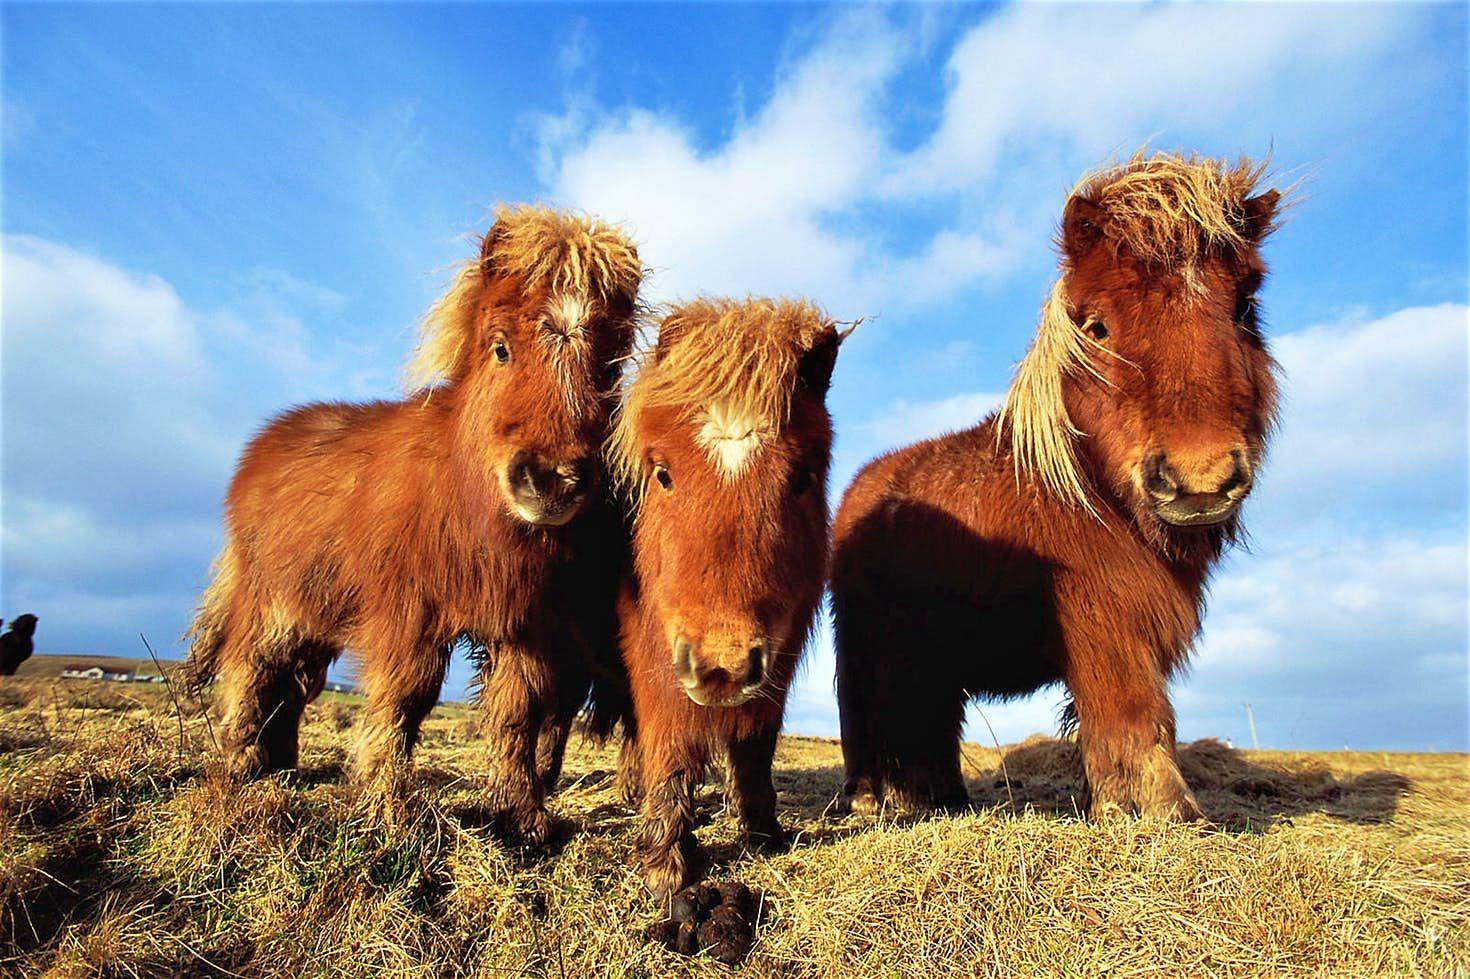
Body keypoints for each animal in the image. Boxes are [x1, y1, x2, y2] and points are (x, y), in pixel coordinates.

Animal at [184, 206, 644, 842]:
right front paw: (385, 809)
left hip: (315, 615)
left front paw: (522, 818)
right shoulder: (408, 615)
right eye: (500, 348)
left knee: (294, 685)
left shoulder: (527, 625)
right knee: (250, 671)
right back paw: (239, 769)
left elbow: (519, 714)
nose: (550, 481)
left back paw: (281, 767)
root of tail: (263, 445)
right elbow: (403, 701)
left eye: (609, 368)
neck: (466, 499)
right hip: (271, 603)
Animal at [603, 297, 847, 898]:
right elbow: (668, 742)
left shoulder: (777, 657)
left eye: (803, 477)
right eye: (662, 473)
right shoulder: (655, 652)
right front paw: (665, 863)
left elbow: (756, 744)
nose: (723, 667)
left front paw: (763, 832)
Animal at [832, 151, 1282, 821]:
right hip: (867, 645)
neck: (1087, 494)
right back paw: (871, 801)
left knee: (927, 720)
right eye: (1096, 327)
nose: (1199, 481)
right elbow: (1133, 713)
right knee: (868, 716)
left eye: (1245, 309)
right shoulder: (1103, 624)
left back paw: (942, 801)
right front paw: (1163, 815)